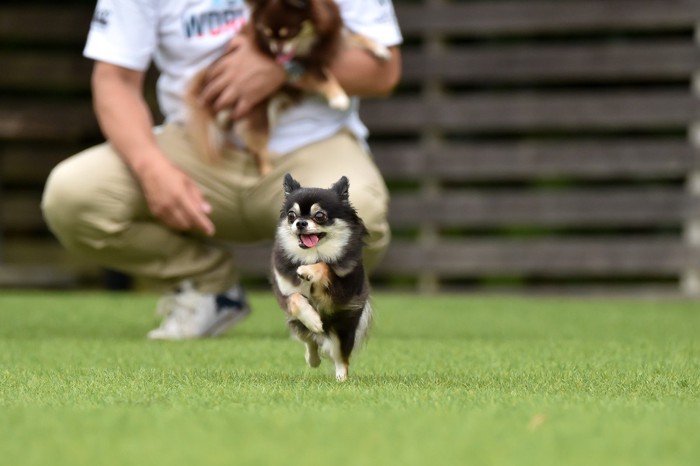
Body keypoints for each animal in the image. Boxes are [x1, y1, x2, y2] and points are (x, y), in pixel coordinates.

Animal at [186, 0, 392, 175]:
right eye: (266, 34)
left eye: (289, 32)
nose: (275, 51)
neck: (310, 43)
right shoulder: (305, 65)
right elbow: (323, 75)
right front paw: (338, 96)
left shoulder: (333, 42)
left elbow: (356, 36)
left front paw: (379, 49)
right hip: (259, 116)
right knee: (257, 149)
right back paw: (269, 170)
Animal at [270, 173, 374, 380]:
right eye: (291, 215)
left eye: (319, 216)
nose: (300, 223)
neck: (311, 255)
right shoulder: (285, 292)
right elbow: (295, 299)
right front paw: (313, 319)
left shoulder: (338, 295)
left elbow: (325, 265)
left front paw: (308, 271)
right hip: (296, 324)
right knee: (309, 339)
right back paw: (313, 357)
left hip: (344, 328)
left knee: (341, 357)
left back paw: (341, 378)